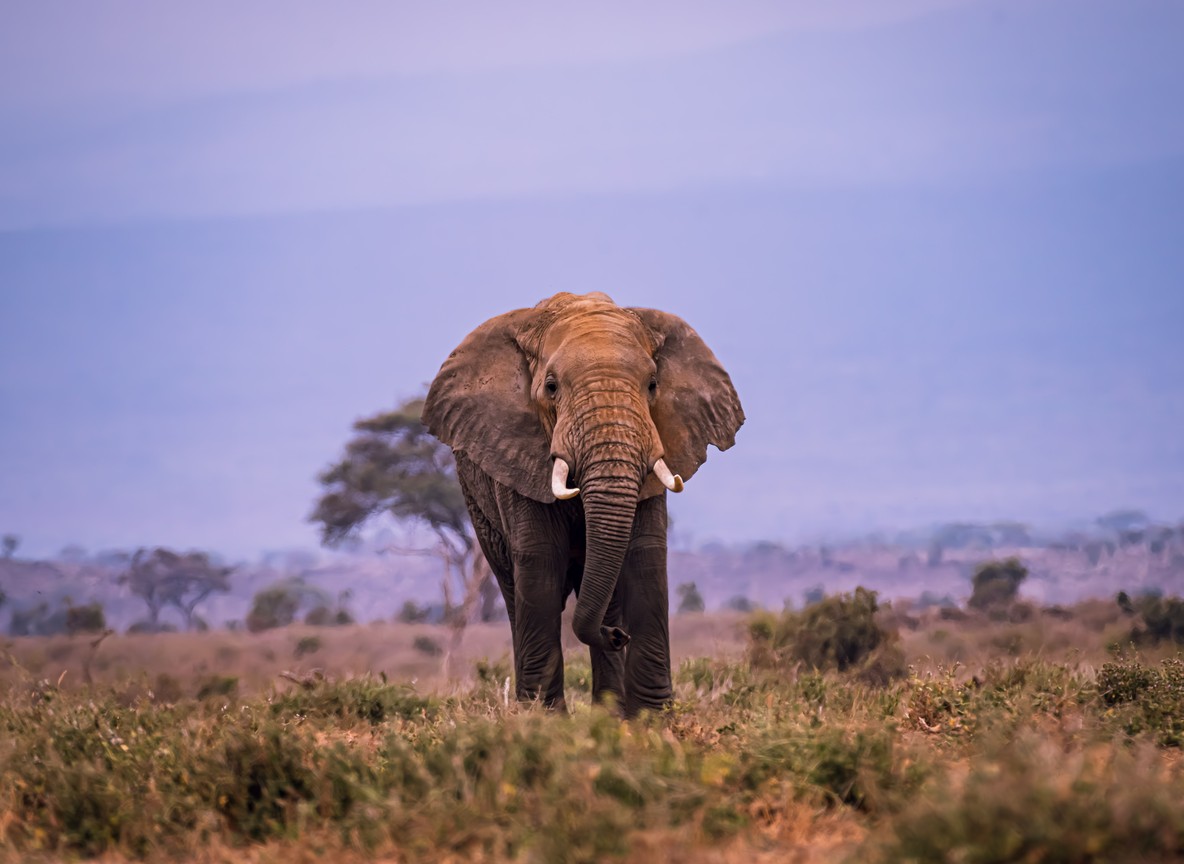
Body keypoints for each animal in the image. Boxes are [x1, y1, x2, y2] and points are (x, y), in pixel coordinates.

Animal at [422, 292, 743, 716]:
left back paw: (610, 711)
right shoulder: (516, 451)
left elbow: (645, 556)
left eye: (653, 385)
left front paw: (653, 718)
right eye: (551, 387)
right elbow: (539, 561)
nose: (618, 636)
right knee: (513, 591)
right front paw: (544, 720)